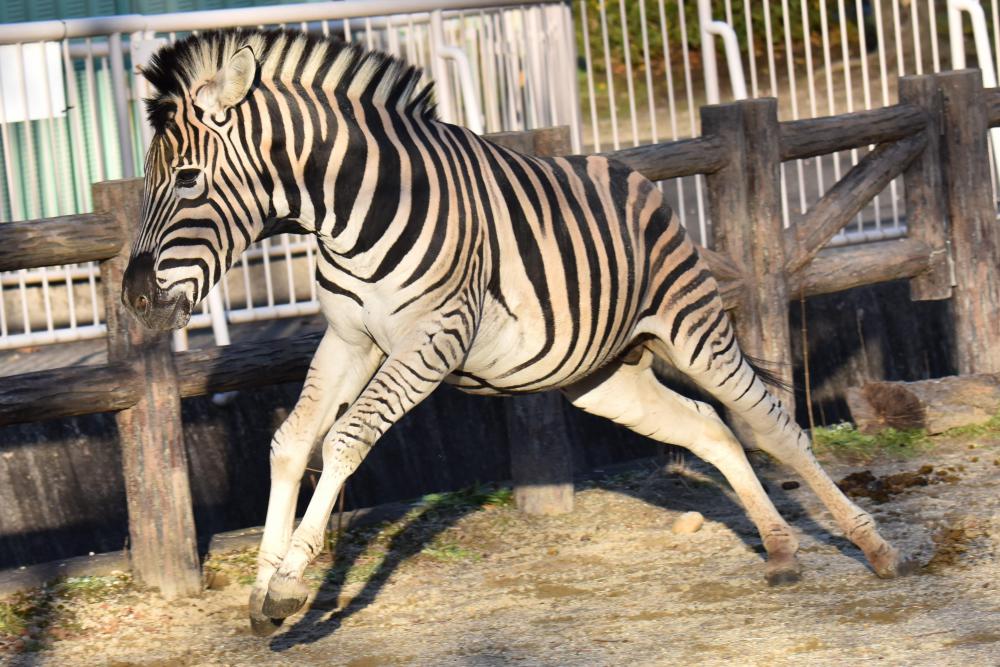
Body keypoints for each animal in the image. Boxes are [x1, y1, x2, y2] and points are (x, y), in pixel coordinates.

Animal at [121, 30, 912, 636]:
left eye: (186, 179)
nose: (132, 296)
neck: (350, 211)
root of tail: (630, 173)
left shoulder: (431, 339)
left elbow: (345, 440)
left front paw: (289, 584)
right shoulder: (350, 338)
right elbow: (291, 441)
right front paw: (264, 591)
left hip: (692, 327)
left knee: (771, 421)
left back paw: (872, 546)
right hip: (603, 375)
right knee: (708, 426)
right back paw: (779, 551)